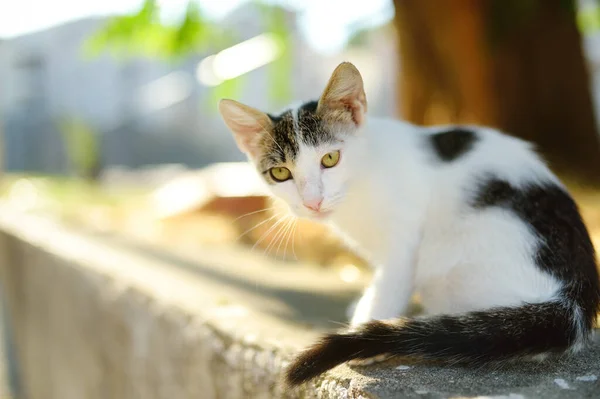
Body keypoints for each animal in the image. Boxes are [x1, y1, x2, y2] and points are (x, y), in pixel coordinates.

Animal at [217, 61, 600, 388]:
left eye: (330, 158)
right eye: (280, 173)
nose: (313, 201)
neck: (360, 181)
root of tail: (575, 301)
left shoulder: (405, 240)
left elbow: (393, 280)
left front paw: (368, 322)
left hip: (446, 259)